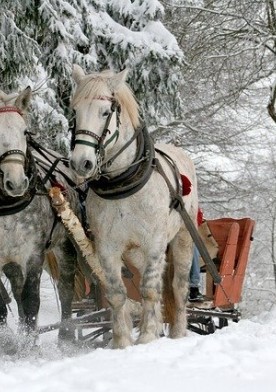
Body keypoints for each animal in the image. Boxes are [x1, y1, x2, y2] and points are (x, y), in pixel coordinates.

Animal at [69, 65, 198, 350]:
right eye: (75, 112)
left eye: (105, 112)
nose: (81, 163)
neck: (123, 183)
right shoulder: (107, 247)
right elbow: (117, 293)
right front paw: (122, 341)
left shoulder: (154, 243)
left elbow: (150, 289)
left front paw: (148, 336)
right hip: (136, 252)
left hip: (183, 238)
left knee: (178, 286)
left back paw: (177, 332)